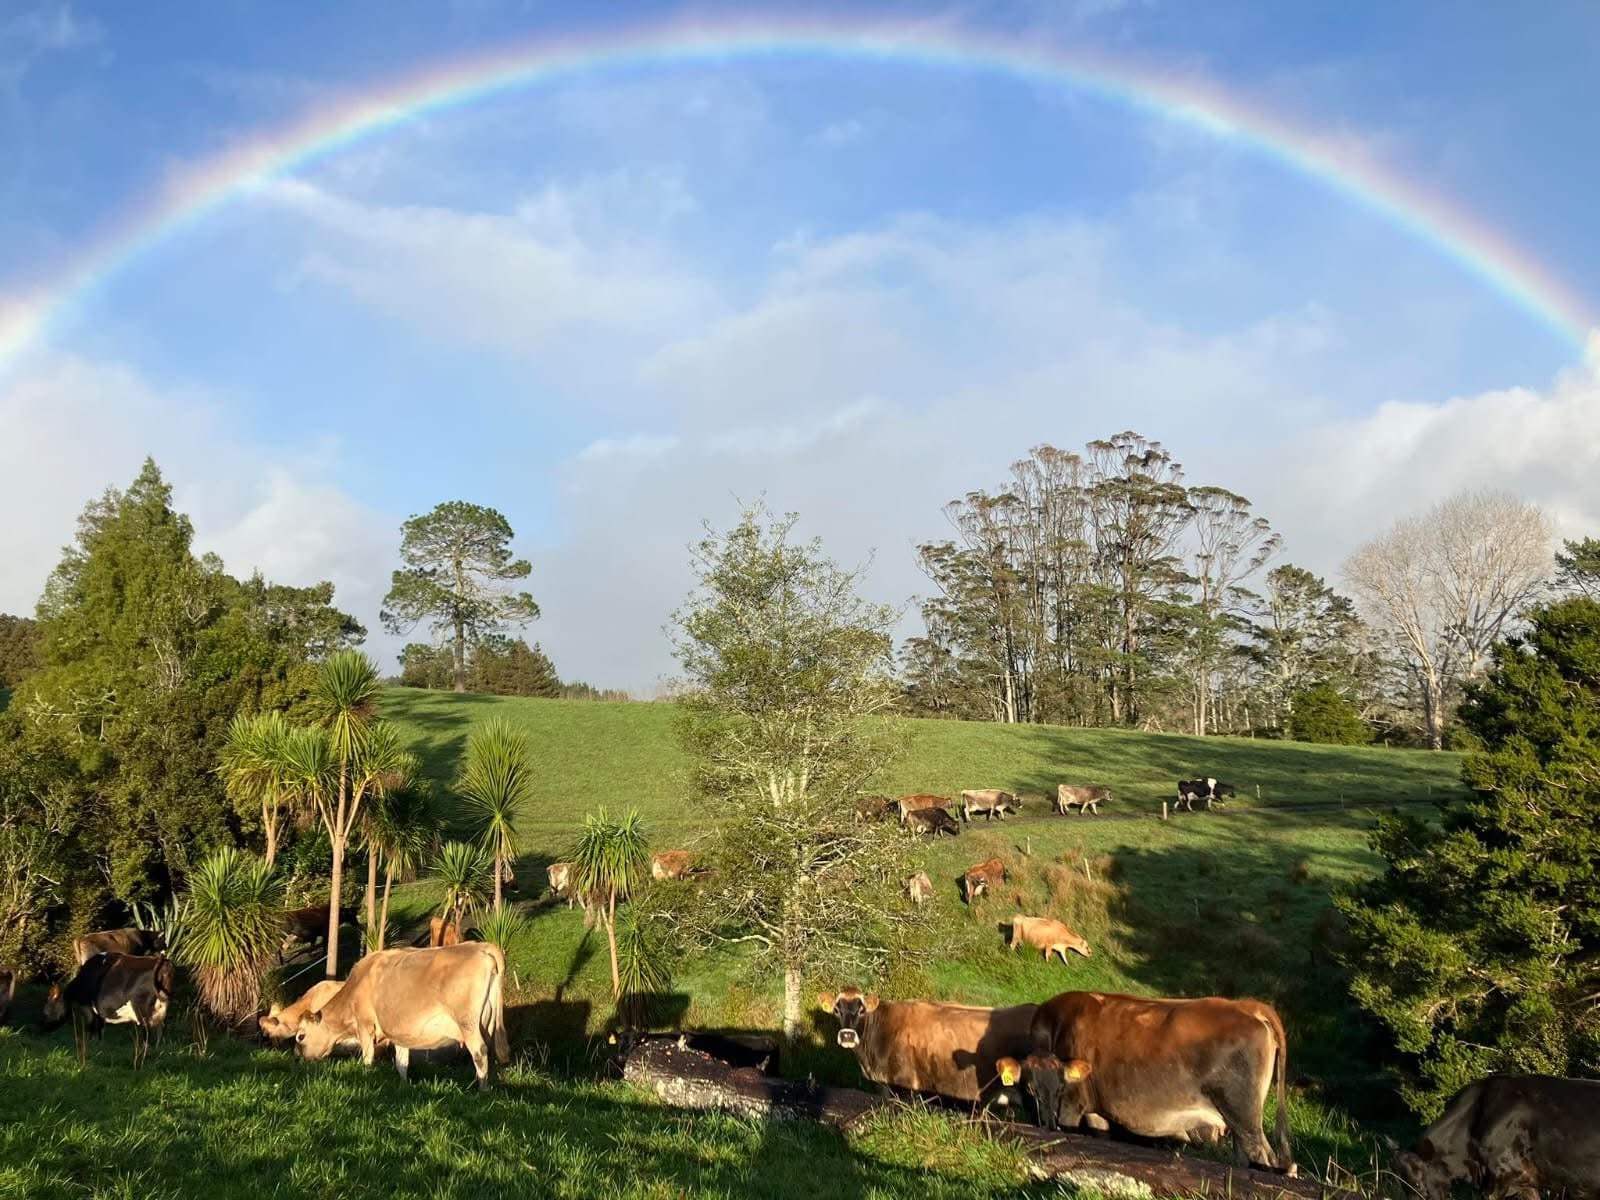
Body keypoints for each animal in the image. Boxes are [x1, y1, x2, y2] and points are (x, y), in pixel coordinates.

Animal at [43, 953, 176, 1069]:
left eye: (45, 1012)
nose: (42, 1028)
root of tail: (162, 961)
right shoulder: (99, 1014)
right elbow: (100, 1031)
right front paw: (99, 1049)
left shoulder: (89, 1009)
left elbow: (91, 1030)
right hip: (161, 1011)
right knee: (160, 1032)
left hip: (142, 1011)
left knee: (147, 1035)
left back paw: (142, 1058)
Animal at [296, 942, 510, 1091]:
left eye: (300, 1036)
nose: (296, 1058)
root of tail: (480, 946)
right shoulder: (400, 1035)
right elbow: (401, 1063)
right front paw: (404, 1086)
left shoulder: (365, 1025)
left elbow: (367, 1057)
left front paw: (366, 1077)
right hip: (486, 1023)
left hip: (468, 1024)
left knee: (479, 1051)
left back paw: (482, 1089)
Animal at [1029, 990, 1294, 1174]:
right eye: (1031, 1087)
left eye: (1059, 1087)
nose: (1045, 1123)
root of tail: (1247, 1005)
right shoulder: (1096, 1108)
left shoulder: (1071, 1104)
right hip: (1239, 1123)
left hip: (1244, 1117)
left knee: (1263, 1158)